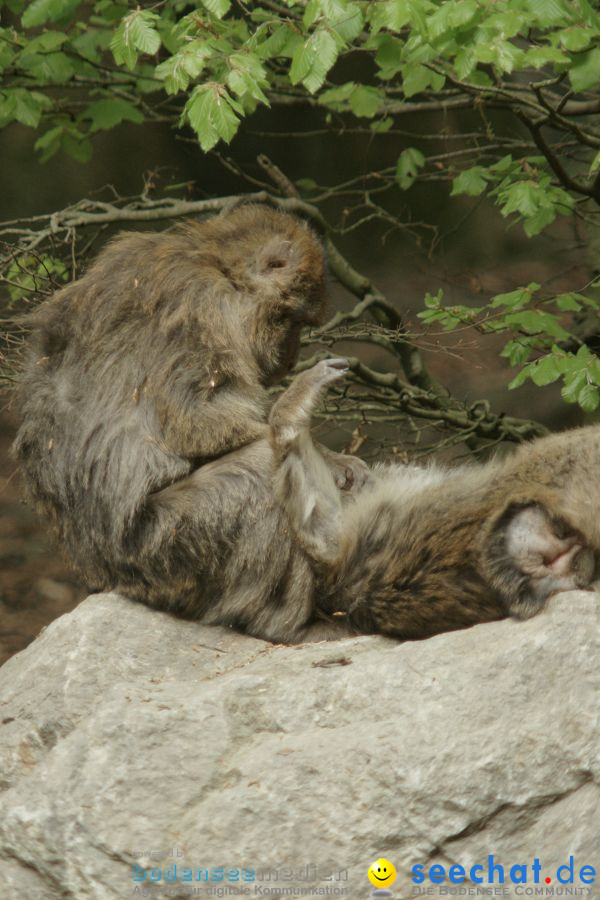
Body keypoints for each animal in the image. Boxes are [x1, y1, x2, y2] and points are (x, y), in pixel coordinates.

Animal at [14, 206, 368, 640]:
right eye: (295, 320)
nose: (289, 360)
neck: (213, 263)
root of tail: (96, 569)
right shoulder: (200, 306)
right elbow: (196, 421)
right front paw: (323, 450)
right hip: (158, 550)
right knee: (258, 471)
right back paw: (283, 625)